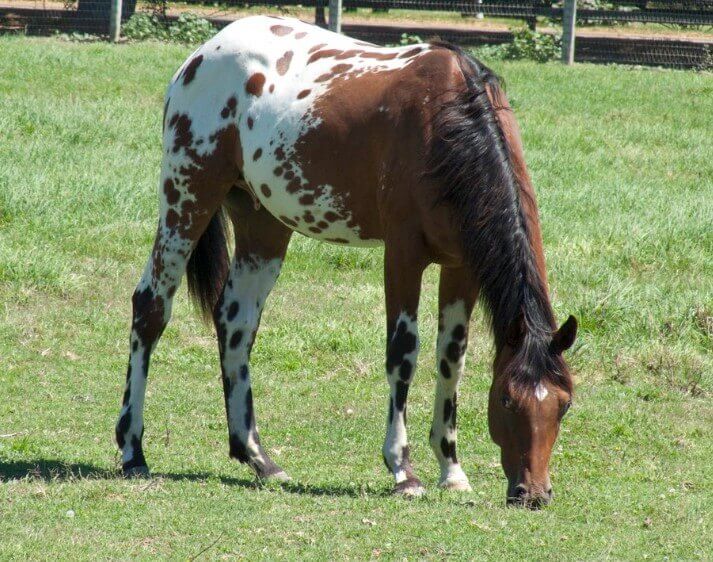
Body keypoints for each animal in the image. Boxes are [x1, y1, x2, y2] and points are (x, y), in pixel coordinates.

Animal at [114, 15, 576, 506]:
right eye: (507, 399)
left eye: (564, 403)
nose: (533, 493)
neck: (449, 124)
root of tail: (204, 52)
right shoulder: (404, 255)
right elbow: (403, 353)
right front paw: (403, 469)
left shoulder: (462, 267)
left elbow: (451, 358)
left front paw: (451, 469)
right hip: (187, 199)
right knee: (151, 308)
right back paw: (133, 451)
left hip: (263, 226)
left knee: (236, 323)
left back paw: (259, 458)